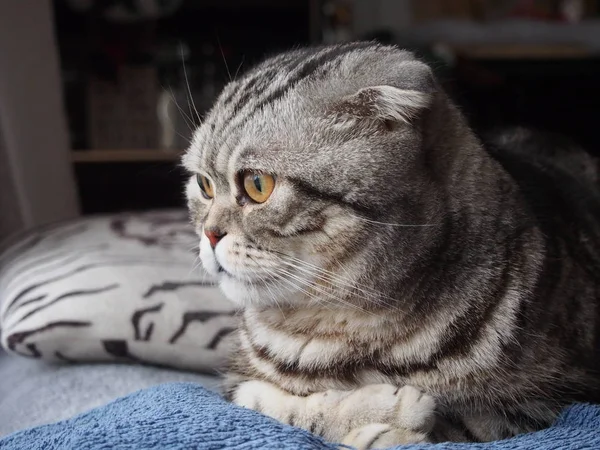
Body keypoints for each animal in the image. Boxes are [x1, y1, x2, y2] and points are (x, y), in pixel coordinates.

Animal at [183, 41, 600, 446]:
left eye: (258, 184)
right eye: (204, 185)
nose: (210, 233)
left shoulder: (549, 402)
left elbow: (452, 424)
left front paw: (385, 424)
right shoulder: (234, 382)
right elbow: (266, 403)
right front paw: (377, 411)